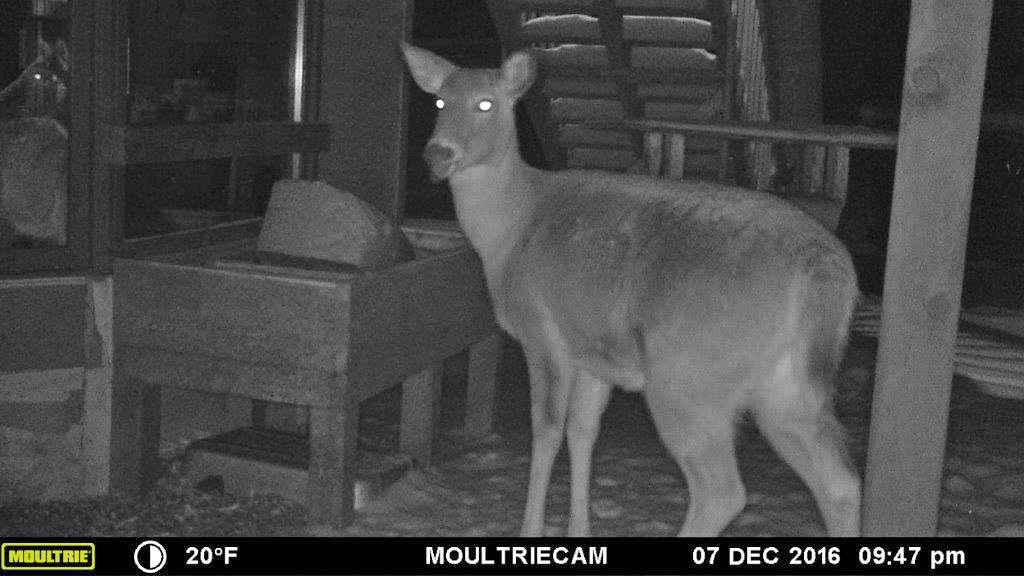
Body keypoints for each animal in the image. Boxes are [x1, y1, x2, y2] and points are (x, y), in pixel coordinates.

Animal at [402, 43, 861, 538]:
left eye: (486, 104)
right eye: (439, 101)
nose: (437, 153)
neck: (511, 228)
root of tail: (825, 271)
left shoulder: (542, 331)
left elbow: (546, 432)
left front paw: (530, 532)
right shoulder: (594, 354)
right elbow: (582, 432)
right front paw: (579, 533)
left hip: (689, 375)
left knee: (722, 491)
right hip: (788, 386)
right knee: (841, 483)